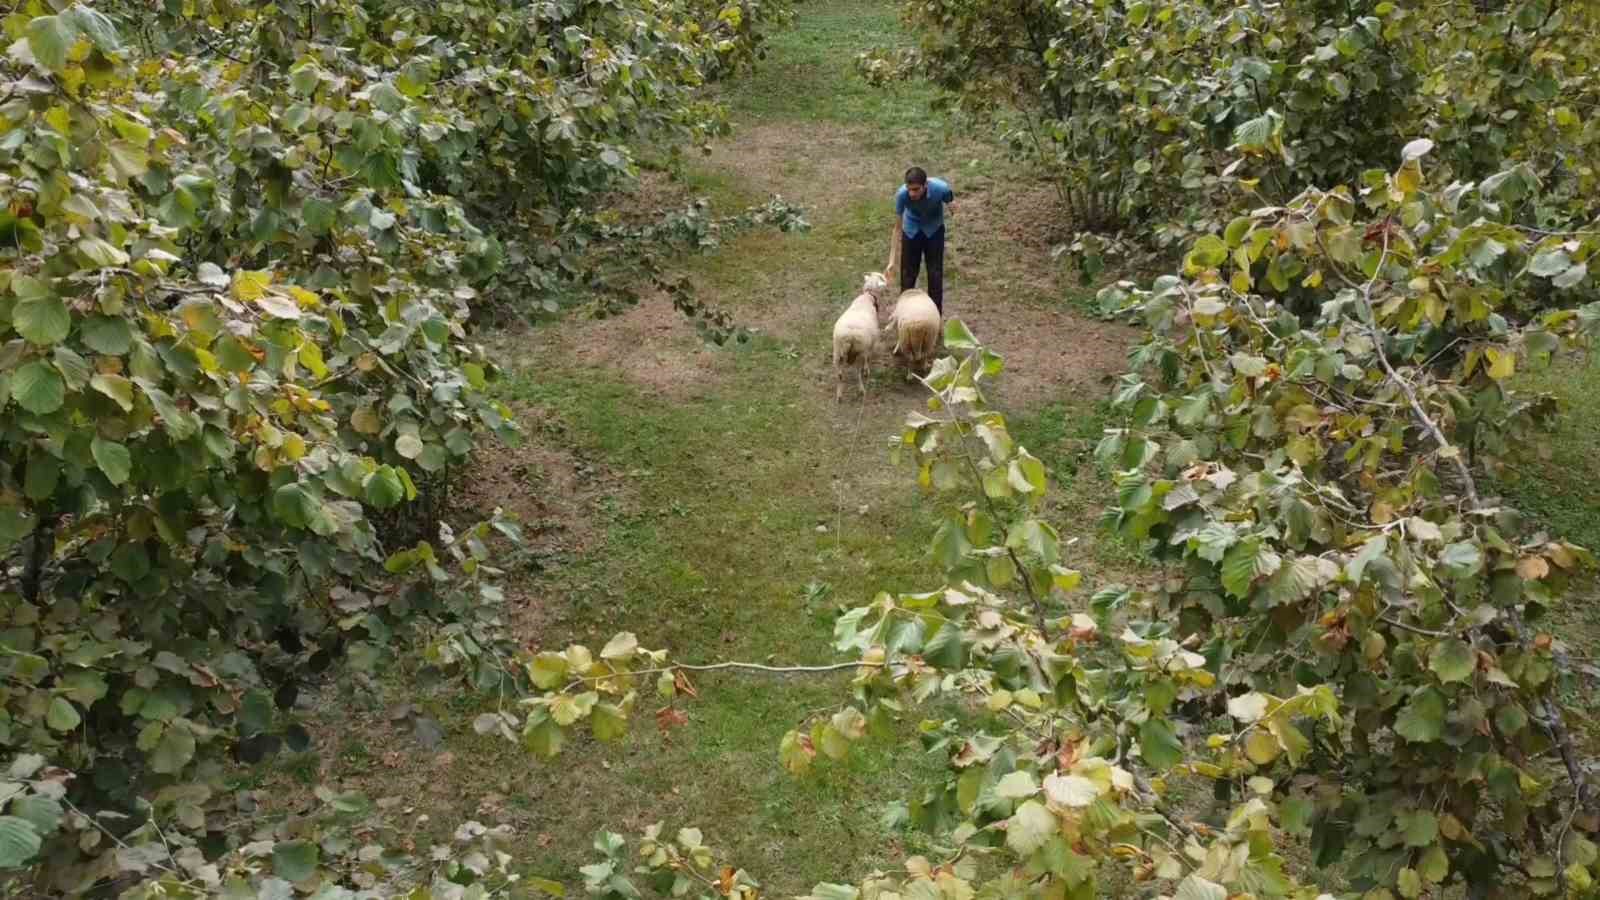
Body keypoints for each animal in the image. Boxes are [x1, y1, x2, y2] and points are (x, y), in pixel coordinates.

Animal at [832, 272, 896, 400]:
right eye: (881, 278)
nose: (887, 281)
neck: (868, 296)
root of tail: (849, 335)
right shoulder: (871, 343)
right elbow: (868, 356)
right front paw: (867, 369)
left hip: (837, 353)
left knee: (840, 375)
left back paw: (839, 396)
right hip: (858, 351)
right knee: (857, 373)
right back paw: (861, 390)